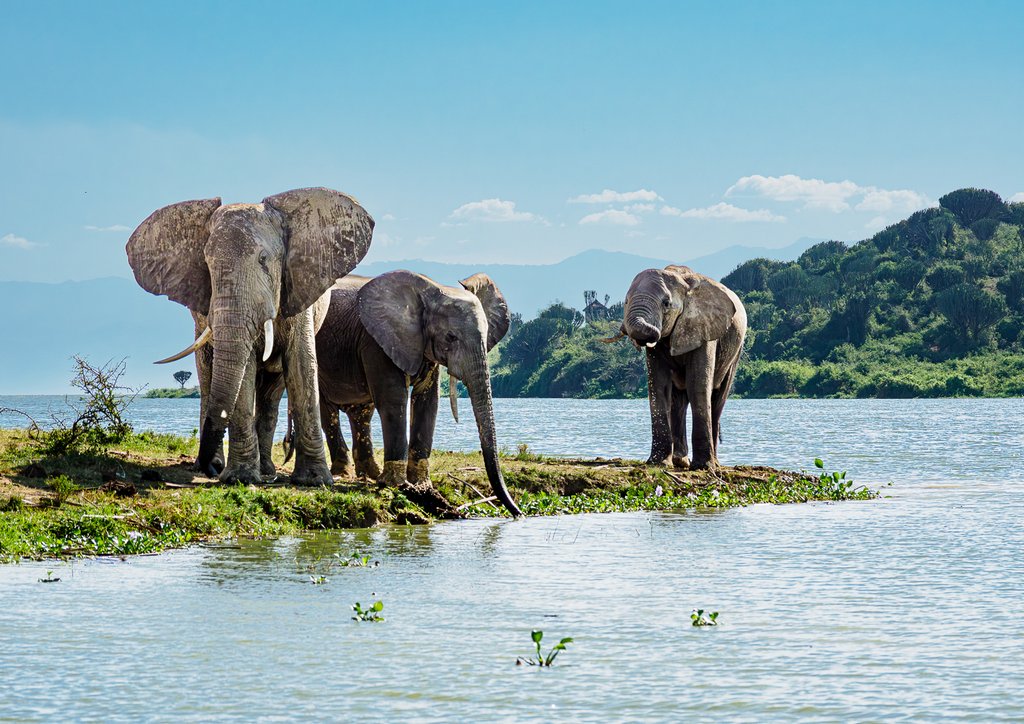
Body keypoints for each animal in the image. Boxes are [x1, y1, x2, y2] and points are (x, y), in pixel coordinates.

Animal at [126, 187, 374, 485]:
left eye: (263, 260)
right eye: (206, 265)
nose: (211, 470)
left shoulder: (296, 288)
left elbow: (301, 364)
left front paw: (314, 481)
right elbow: (244, 369)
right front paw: (240, 478)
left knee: (271, 394)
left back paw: (264, 470)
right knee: (208, 375)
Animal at [311, 270, 523, 517]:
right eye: (451, 337)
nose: (519, 513)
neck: (431, 291)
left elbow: (427, 403)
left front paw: (421, 486)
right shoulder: (376, 342)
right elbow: (393, 399)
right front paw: (395, 484)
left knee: (362, 414)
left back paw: (370, 475)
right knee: (328, 410)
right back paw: (344, 474)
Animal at [618, 265, 746, 471]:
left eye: (666, 303)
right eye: (626, 301)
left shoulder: (705, 327)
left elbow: (698, 385)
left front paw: (703, 467)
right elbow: (659, 387)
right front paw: (658, 463)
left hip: (736, 351)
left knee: (718, 398)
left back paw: (714, 463)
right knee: (678, 402)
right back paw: (680, 461)